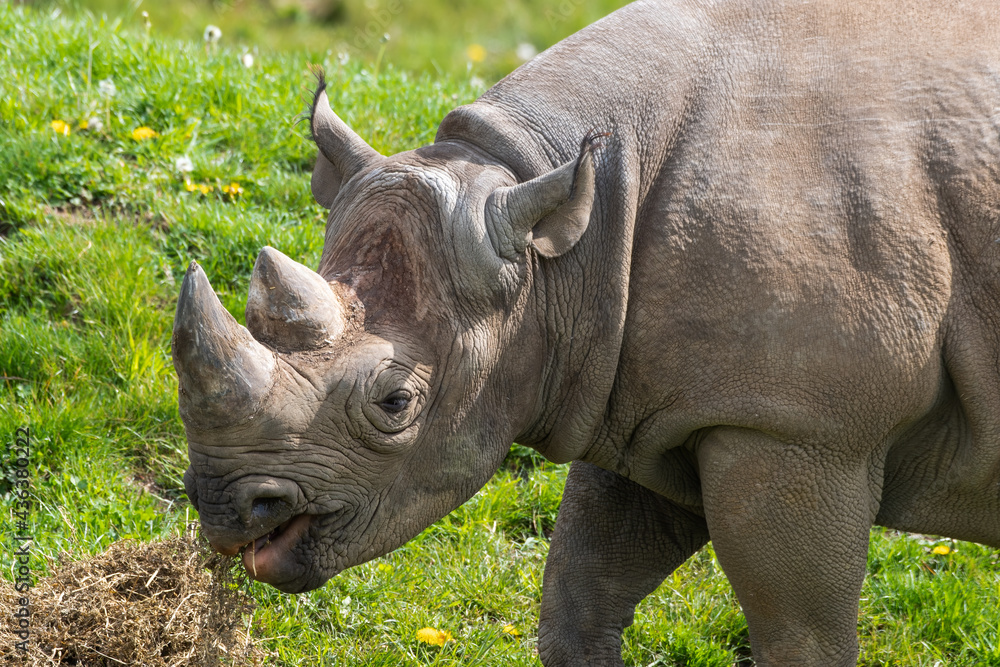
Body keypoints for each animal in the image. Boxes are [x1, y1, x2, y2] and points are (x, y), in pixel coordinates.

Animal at [173, 0, 1000, 664]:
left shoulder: (798, 429)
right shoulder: (645, 396)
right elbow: (578, 599)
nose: (226, 509)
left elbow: (800, 637)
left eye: (396, 403)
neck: (564, 246)